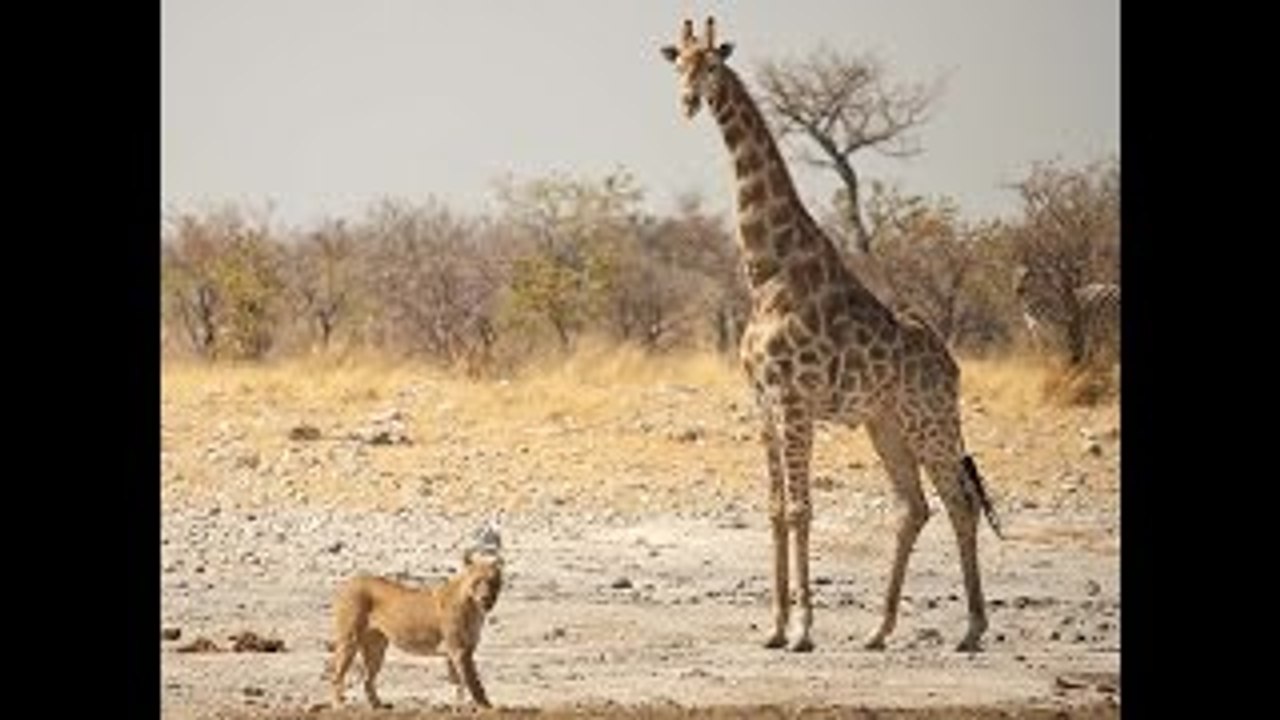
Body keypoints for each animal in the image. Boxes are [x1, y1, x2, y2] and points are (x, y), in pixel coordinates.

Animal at [329, 547, 503, 709]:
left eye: (493, 581)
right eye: (477, 581)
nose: (486, 598)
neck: (474, 607)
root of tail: (350, 581)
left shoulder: (459, 651)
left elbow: (458, 682)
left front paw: (458, 707)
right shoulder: (459, 650)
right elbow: (473, 681)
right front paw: (486, 707)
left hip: (377, 647)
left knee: (367, 678)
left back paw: (378, 706)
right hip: (349, 639)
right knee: (337, 674)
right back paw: (338, 705)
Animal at [660, 17, 1002, 653]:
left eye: (713, 64)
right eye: (679, 65)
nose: (690, 102)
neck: (768, 270)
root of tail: (952, 364)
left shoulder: (795, 400)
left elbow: (801, 508)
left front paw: (803, 630)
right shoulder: (763, 402)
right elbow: (775, 508)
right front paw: (775, 627)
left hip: (930, 419)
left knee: (959, 501)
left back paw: (971, 630)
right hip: (885, 424)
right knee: (913, 506)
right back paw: (878, 629)